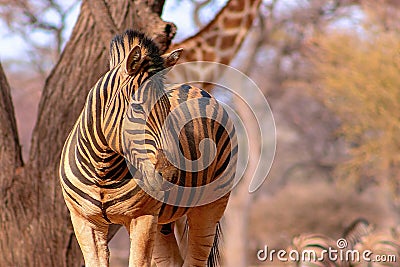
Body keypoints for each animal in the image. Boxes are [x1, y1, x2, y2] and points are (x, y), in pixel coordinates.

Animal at [59, 29, 238, 267]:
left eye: (167, 108)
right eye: (136, 107)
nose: (171, 174)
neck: (104, 171)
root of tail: (198, 89)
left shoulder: (143, 217)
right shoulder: (84, 221)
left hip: (210, 206)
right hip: (166, 221)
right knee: (172, 260)